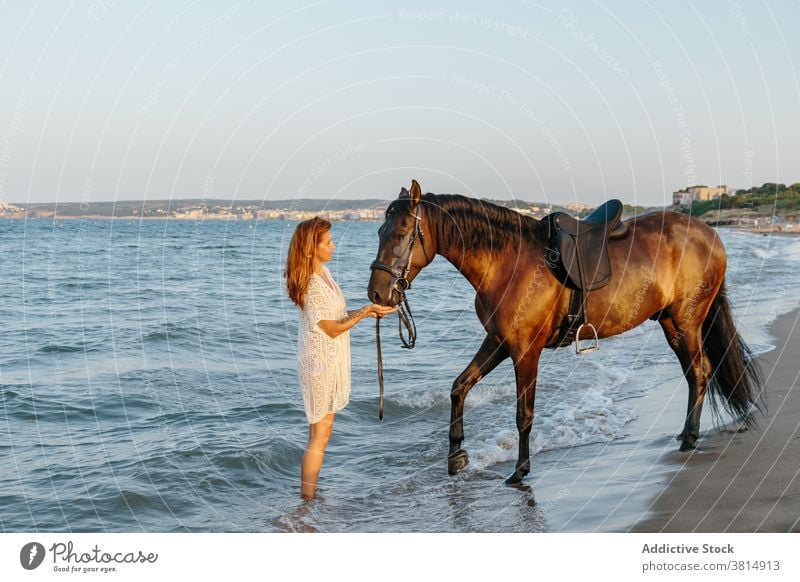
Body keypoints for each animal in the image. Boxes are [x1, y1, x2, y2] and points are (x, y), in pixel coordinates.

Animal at [368, 180, 764, 486]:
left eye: (401, 234)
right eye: (378, 231)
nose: (377, 293)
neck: (508, 262)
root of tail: (710, 234)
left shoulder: (526, 351)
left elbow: (523, 414)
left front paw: (520, 471)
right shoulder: (498, 342)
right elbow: (459, 387)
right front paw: (456, 457)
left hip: (687, 320)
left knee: (700, 371)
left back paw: (690, 440)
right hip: (671, 324)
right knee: (693, 374)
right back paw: (685, 433)